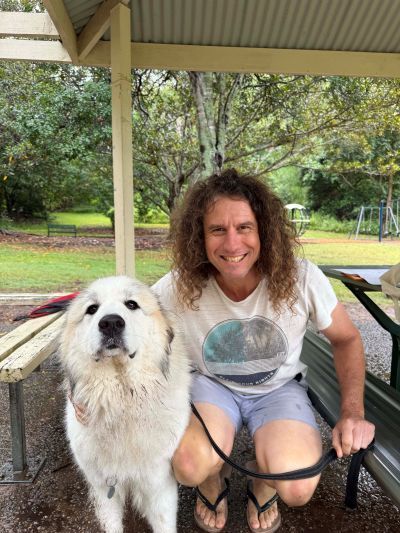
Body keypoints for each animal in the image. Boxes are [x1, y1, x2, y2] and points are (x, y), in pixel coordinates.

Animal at [59, 275, 191, 533]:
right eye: (92, 309)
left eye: (131, 304)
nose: (110, 323)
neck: (123, 398)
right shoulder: (103, 487)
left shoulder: (158, 484)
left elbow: (164, 523)